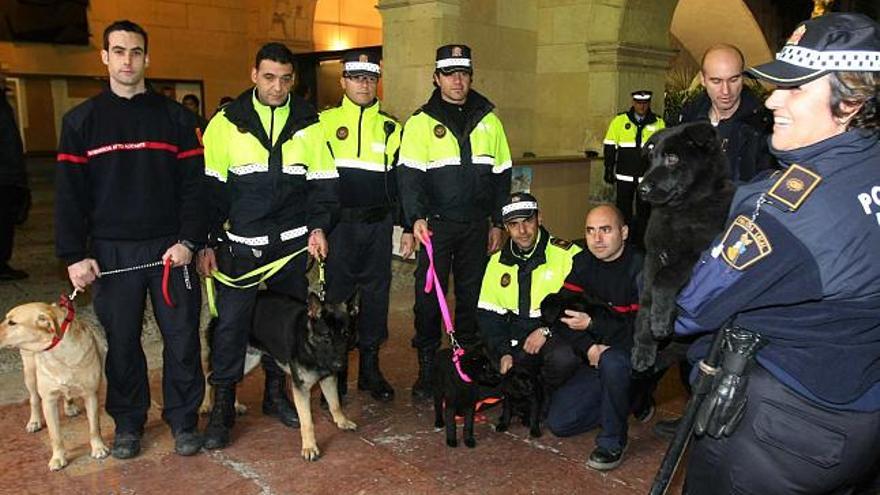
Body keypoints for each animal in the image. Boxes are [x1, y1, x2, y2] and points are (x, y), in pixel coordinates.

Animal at [0, 300, 109, 470]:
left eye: (12, 322)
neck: (59, 354)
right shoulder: (48, 400)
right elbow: (55, 435)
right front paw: (58, 458)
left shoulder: (91, 395)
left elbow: (94, 427)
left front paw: (98, 448)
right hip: (30, 374)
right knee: (33, 399)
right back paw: (34, 421)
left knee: (67, 394)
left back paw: (69, 406)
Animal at [244, 290, 358, 462]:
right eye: (326, 336)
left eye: (346, 334)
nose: (340, 365)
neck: (310, 344)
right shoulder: (301, 389)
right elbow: (307, 422)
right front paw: (310, 447)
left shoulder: (328, 379)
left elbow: (335, 404)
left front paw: (342, 421)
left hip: (251, 359)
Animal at [632, 123, 736, 372]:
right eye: (651, 159)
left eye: (672, 158)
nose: (641, 189)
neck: (681, 210)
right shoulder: (653, 256)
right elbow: (647, 297)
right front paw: (644, 346)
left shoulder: (695, 255)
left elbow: (665, 278)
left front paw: (660, 320)